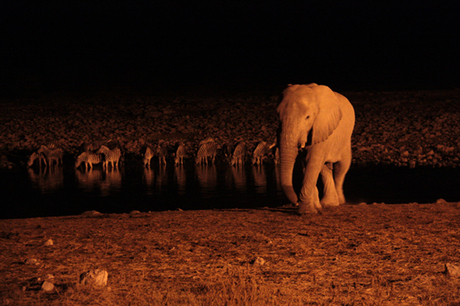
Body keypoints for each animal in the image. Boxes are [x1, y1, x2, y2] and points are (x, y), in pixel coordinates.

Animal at [276, 82, 356, 214]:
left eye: (307, 117)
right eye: (278, 116)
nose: (295, 202)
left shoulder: (321, 125)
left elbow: (312, 162)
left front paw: (307, 212)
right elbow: (307, 164)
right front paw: (315, 208)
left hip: (345, 138)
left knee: (341, 167)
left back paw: (340, 202)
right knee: (324, 168)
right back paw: (329, 203)